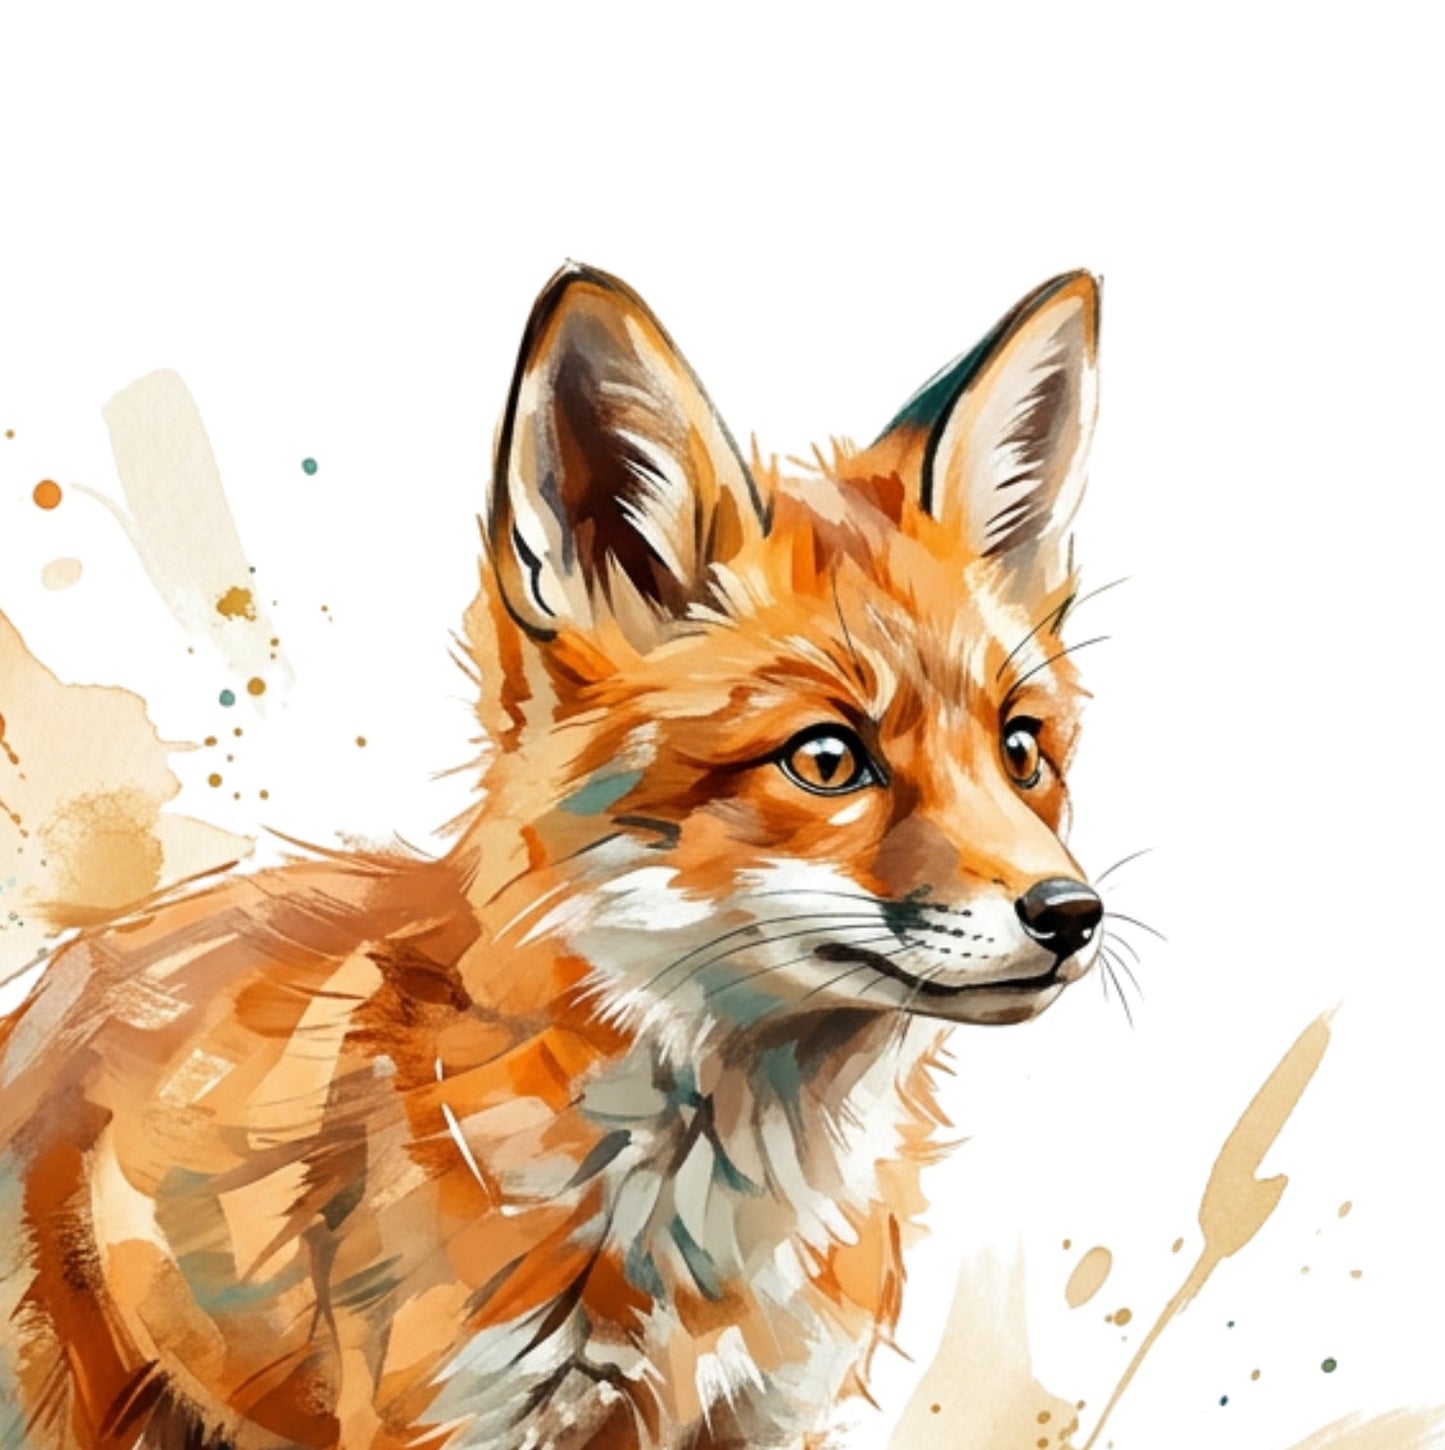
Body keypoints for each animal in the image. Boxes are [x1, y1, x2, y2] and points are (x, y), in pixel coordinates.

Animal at [0, 262, 1106, 1450]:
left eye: (1020, 749)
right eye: (825, 759)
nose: (1071, 913)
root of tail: (73, 966)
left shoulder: (765, 1416)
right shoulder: (457, 1418)